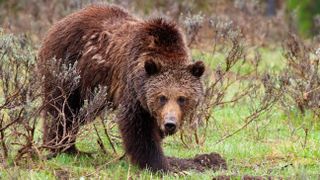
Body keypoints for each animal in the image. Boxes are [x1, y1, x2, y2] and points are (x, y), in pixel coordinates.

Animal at [38, 4, 205, 172]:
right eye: (162, 97)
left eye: (182, 98)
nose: (170, 123)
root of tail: (57, 24)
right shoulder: (132, 87)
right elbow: (138, 127)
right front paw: (158, 165)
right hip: (68, 69)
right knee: (62, 109)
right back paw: (63, 147)